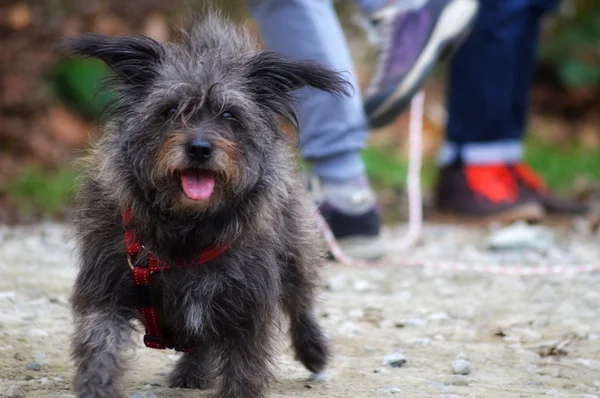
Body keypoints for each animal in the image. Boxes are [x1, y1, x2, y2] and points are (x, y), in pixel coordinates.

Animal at [69, 12, 350, 398]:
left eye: (230, 115)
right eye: (170, 110)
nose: (199, 148)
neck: (187, 229)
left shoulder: (246, 303)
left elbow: (243, 366)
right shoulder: (107, 288)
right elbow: (100, 347)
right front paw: (97, 388)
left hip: (296, 253)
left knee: (300, 304)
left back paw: (313, 350)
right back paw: (192, 371)